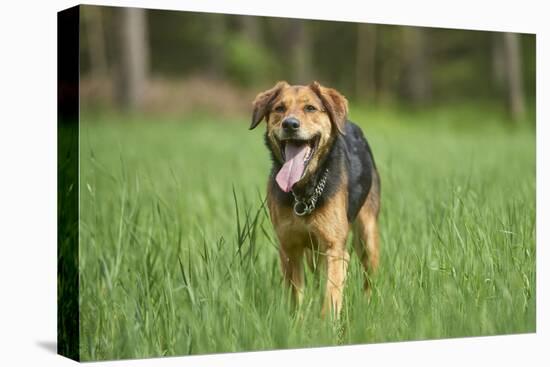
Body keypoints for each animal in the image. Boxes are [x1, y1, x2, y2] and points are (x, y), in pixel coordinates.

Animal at [252, 81, 382, 320]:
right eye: (279, 108)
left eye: (310, 108)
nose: (290, 124)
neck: (304, 192)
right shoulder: (289, 248)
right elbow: (295, 297)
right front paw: (296, 323)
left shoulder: (335, 249)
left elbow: (331, 296)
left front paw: (326, 324)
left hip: (367, 235)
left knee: (369, 279)